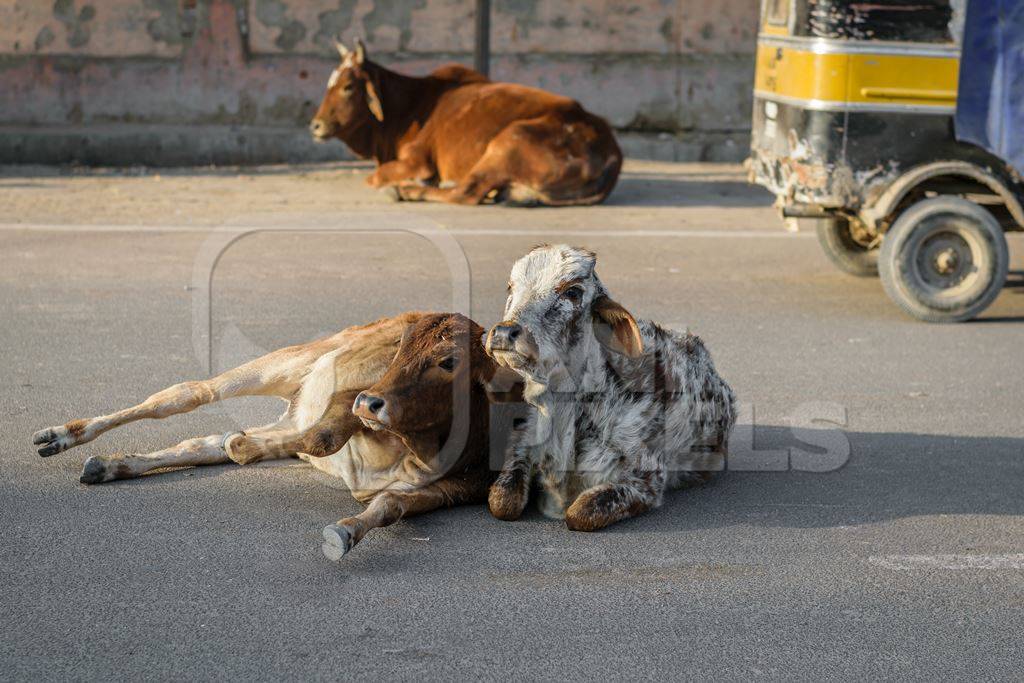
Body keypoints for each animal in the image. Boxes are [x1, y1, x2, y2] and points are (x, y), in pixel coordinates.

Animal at [34, 313, 512, 561]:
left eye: (448, 361)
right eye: (398, 350)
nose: (371, 403)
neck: (415, 449)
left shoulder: (451, 489)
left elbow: (388, 505)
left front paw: (346, 532)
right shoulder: (346, 399)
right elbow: (321, 436)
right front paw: (244, 446)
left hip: (292, 403)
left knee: (201, 443)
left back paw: (110, 465)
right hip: (291, 361)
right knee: (185, 394)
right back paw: (60, 436)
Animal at [307, 39, 618, 205]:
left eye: (348, 87)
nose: (316, 126)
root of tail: (611, 150)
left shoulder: (417, 161)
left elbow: (374, 176)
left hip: (509, 140)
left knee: (466, 192)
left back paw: (406, 190)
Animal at [481, 242, 733, 532]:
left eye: (573, 291)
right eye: (510, 287)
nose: (503, 333)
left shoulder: (646, 479)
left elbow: (579, 513)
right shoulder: (522, 439)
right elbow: (502, 501)